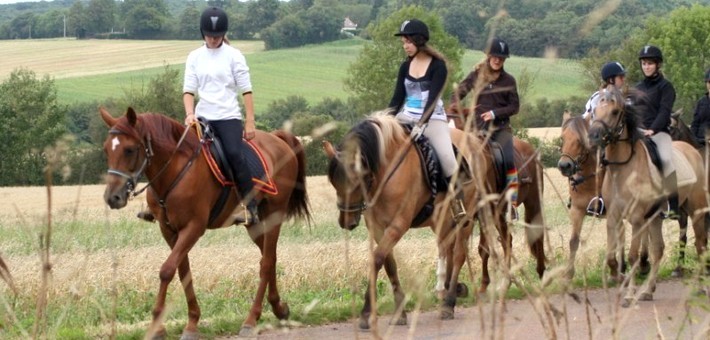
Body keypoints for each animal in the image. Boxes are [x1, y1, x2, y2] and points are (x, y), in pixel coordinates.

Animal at [101, 107, 312, 338]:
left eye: (129, 150)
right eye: (106, 150)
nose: (113, 197)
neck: (175, 169)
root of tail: (277, 138)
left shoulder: (194, 227)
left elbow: (167, 270)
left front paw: (158, 322)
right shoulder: (169, 230)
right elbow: (183, 271)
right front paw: (191, 321)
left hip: (274, 215)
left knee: (266, 263)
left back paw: (251, 319)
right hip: (255, 225)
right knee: (269, 258)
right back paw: (279, 308)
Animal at [324, 113, 478, 330]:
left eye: (357, 182)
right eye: (334, 182)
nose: (347, 221)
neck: (386, 170)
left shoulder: (398, 225)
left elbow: (376, 259)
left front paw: (365, 312)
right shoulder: (377, 227)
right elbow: (388, 263)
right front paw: (400, 312)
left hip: (467, 218)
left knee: (458, 256)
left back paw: (449, 302)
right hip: (442, 221)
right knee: (446, 249)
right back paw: (449, 290)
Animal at [588, 87, 708, 306]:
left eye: (615, 112)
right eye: (594, 111)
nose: (594, 136)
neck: (623, 170)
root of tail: (693, 151)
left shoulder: (636, 219)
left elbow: (633, 256)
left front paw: (629, 295)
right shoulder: (613, 218)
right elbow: (612, 257)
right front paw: (619, 279)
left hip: (696, 211)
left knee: (700, 245)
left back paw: (701, 287)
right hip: (655, 217)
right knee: (659, 249)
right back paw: (648, 290)